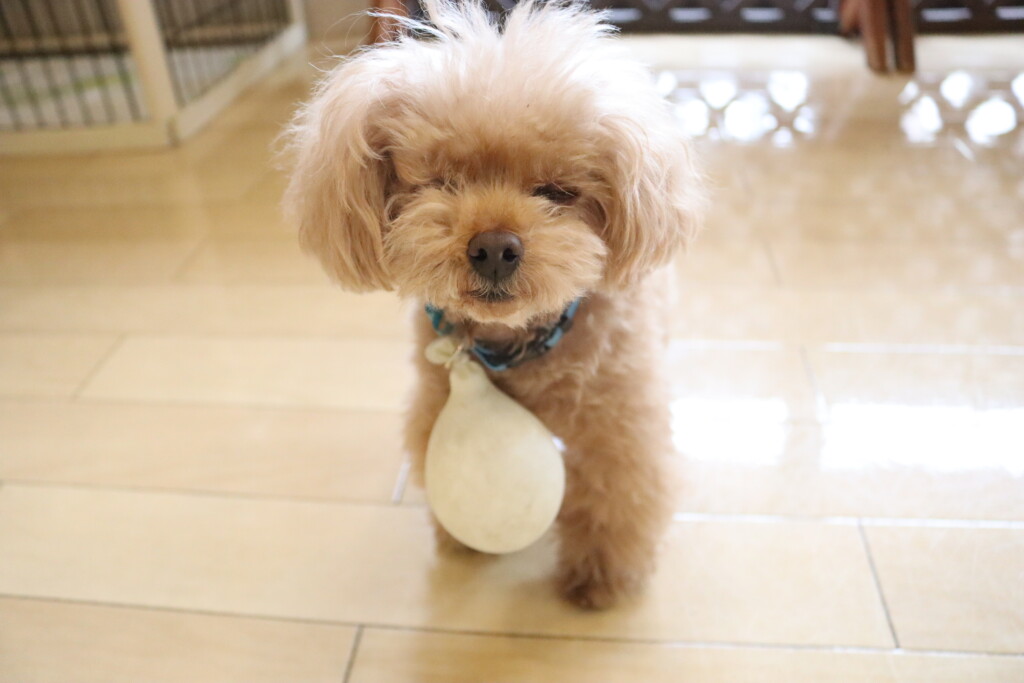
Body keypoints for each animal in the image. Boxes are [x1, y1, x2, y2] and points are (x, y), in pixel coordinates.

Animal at [284, 0, 703, 609]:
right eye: (443, 181)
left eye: (557, 191)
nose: (494, 248)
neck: (516, 344)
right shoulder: (433, 400)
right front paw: (461, 540)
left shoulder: (617, 427)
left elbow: (615, 499)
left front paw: (598, 580)